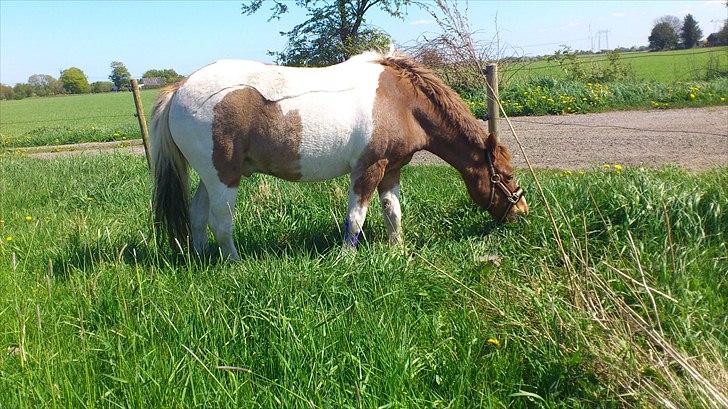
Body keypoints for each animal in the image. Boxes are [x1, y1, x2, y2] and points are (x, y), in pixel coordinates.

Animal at [150, 51, 528, 261]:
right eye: (507, 175)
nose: (522, 212)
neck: (403, 102)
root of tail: (179, 88)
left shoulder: (392, 170)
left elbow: (393, 212)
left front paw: (397, 249)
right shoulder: (368, 169)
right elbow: (355, 219)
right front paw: (346, 258)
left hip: (211, 176)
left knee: (198, 215)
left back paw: (201, 257)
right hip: (223, 178)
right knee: (220, 221)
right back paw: (235, 263)